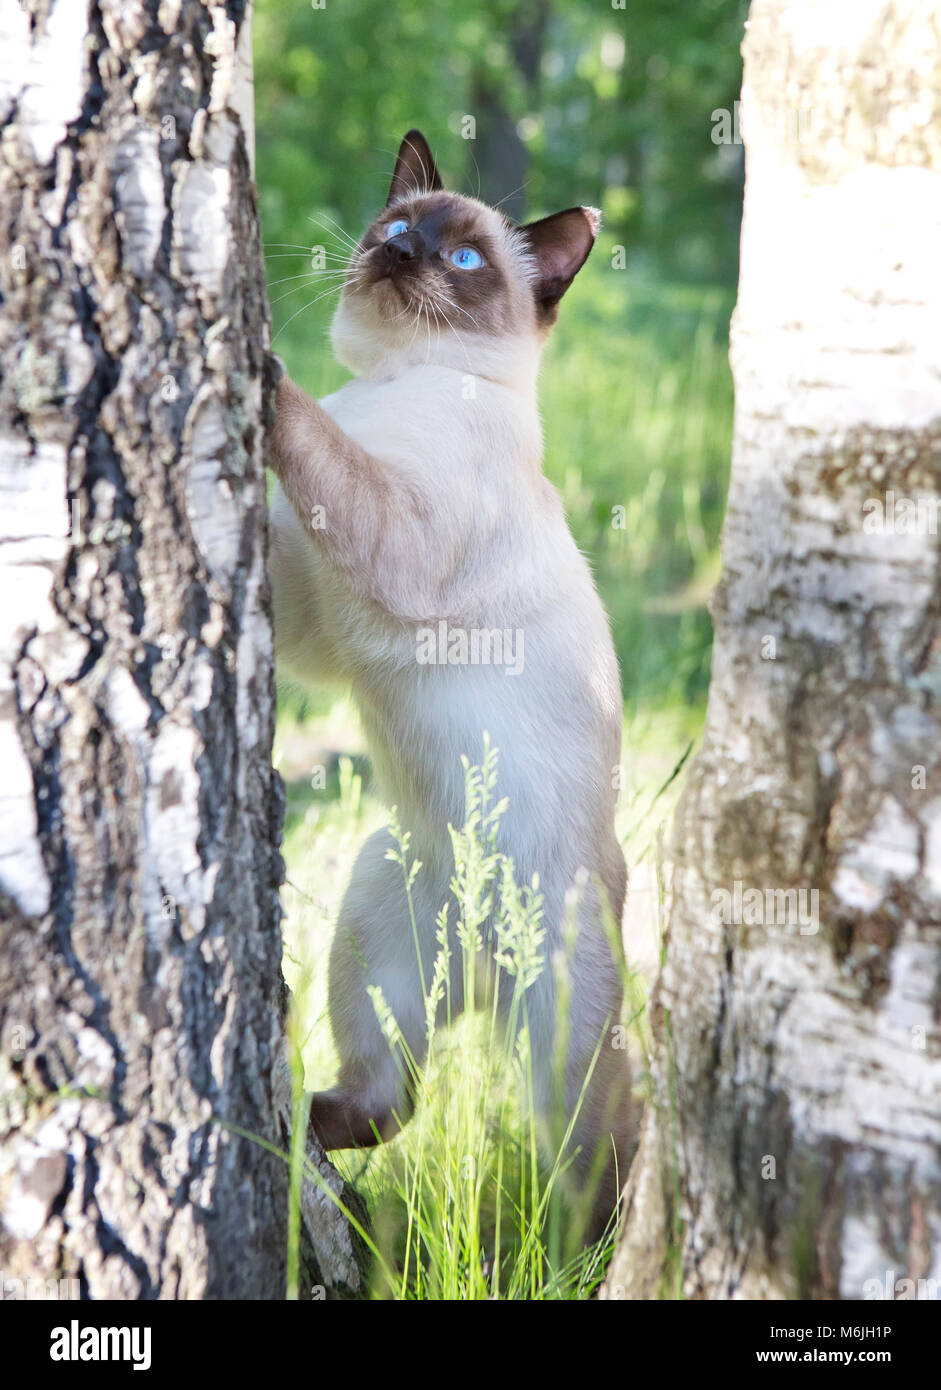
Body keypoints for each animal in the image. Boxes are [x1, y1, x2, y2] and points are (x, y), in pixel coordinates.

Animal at [265, 130, 631, 1239]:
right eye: (395, 226)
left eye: (464, 259)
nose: (401, 252)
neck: (396, 380)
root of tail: (479, 947)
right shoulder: (313, 620)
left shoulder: (391, 535)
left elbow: (317, 443)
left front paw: (257, 367)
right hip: (377, 930)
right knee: (393, 1099)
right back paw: (310, 1126)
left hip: (563, 1069)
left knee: (599, 1173)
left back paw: (587, 1258)